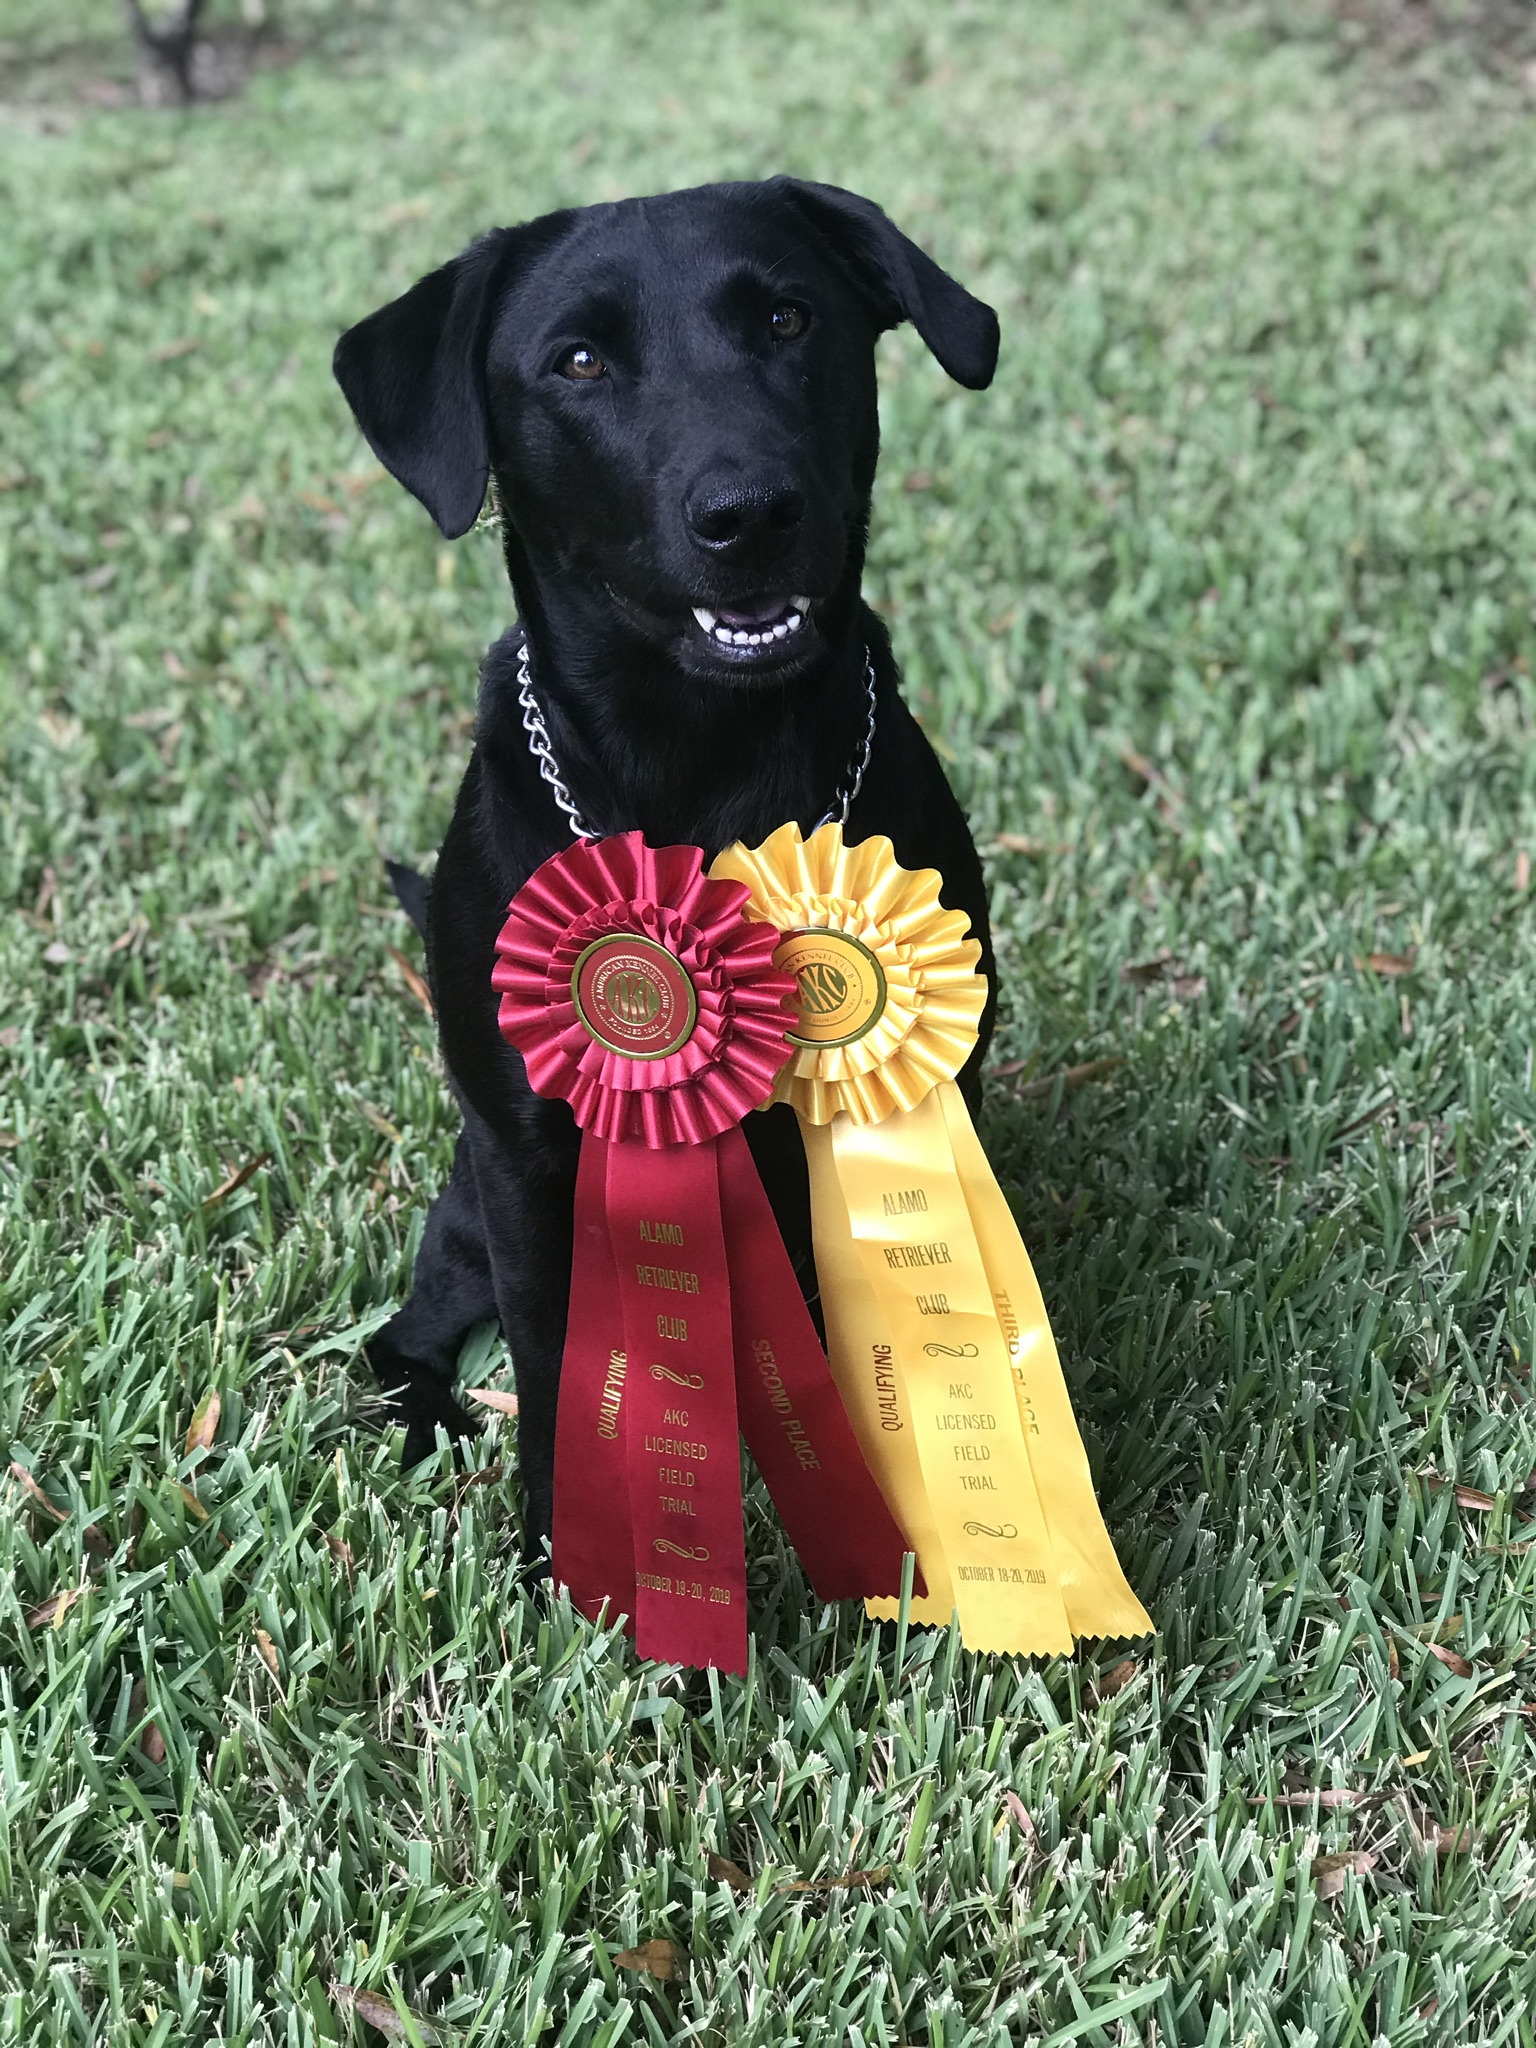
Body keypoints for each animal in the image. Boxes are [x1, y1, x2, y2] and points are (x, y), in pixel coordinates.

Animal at [335, 180, 1003, 1548]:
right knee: (403, 1335)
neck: (707, 768)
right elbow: (552, 1376)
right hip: (464, 1209)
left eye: (789, 318)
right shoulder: (529, 1162)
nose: (750, 513)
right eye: (579, 361)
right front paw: (562, 1565)